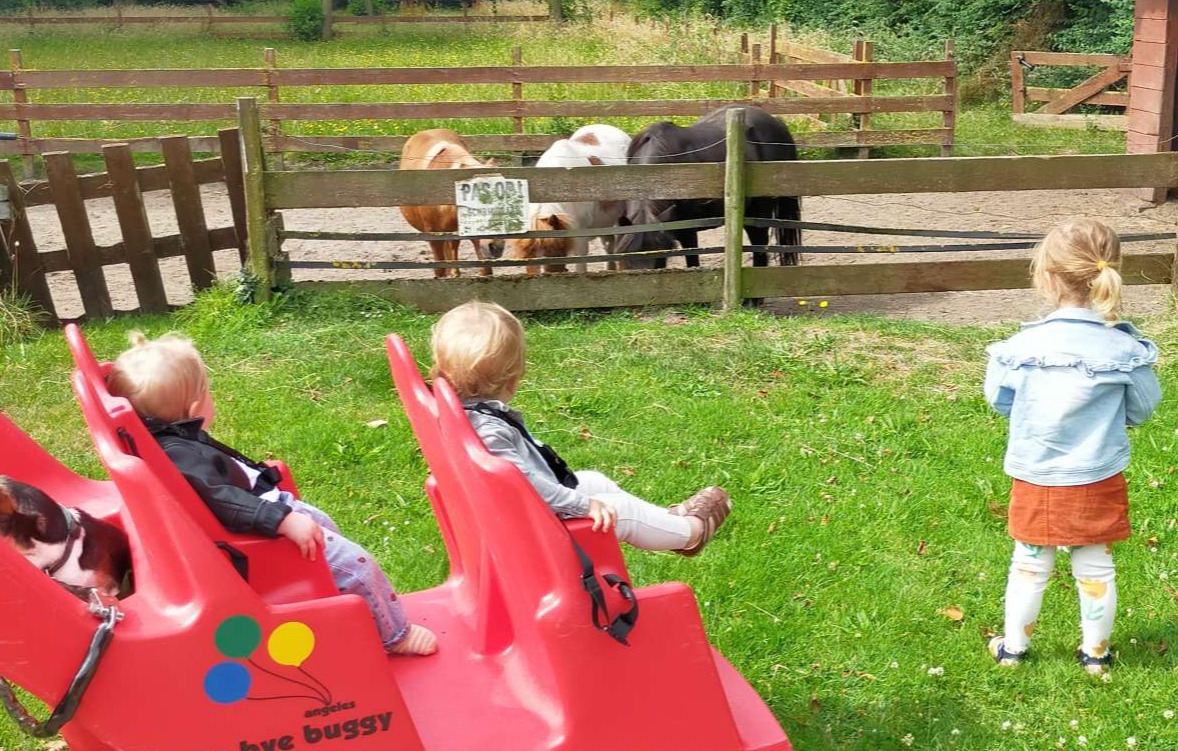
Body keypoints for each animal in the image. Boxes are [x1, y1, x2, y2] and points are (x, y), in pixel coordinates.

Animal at [613, 106, 801, 270]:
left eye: (661, 259)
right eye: (625, 259)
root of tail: (776, 122)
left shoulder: (687, 230)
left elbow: (692, 262)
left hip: (759, 212)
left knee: (759, 247)